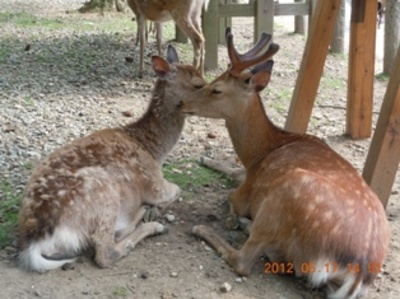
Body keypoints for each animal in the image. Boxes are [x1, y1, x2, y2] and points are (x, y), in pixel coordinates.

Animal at [18, 45, 206, 274]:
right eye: (198, 84)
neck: (154, 150)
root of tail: (34, 244)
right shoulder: (154, 183)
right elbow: (178, 189)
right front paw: (154, 211)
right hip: (103, 194)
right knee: (105, 251)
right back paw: (153, 224)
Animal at [177, 27, 390, 298]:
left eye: (217, 89)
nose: (181, 103)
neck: (263, 151)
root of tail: (359, 273)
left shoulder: (247, 189)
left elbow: (231, 195)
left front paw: (233, 217)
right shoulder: (250, 172)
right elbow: (234, 170)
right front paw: (205, 157)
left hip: (285, 194)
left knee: (244, 261)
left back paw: (208, 228)